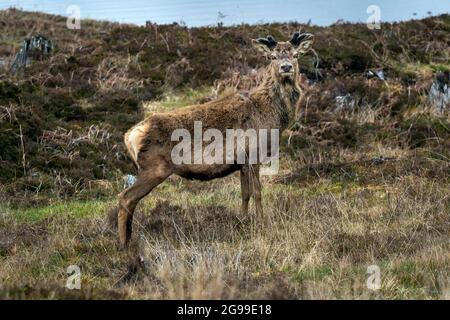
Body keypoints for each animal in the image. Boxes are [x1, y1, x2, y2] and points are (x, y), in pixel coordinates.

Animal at [114, 31, 314, 248]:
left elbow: (245, 193)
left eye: (296, 55)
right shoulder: (253, 154)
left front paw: (242, 221)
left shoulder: (241, 162)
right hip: (154, 168)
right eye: (272, 57)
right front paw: (261, 222)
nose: (286, 67)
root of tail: (129, 136)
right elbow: (258, 192)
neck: (270, 116)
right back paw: (123, 244)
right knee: (125, 197)